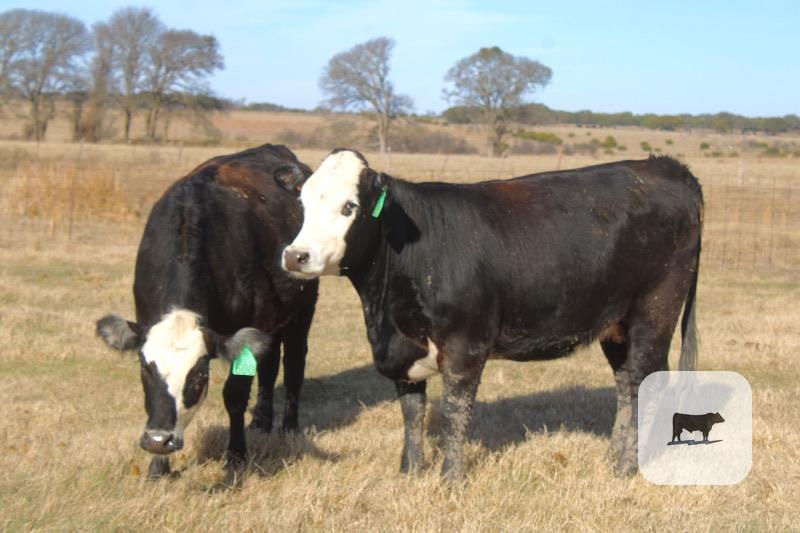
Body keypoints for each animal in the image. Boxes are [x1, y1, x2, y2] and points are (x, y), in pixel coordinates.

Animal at [96, 143, 318, 479]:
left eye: (199, 373)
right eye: (145, 368)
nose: (159, 439)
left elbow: (235, 396)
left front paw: (236, 456)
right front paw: (158, 467)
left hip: (302, 310)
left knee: (294, 363)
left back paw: (289, 428)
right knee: (269, 367)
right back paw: (261, 421)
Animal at [281, 149, 703, 480]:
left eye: (348, 207)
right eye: (302, 205)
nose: (296, 255)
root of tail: (664, 166)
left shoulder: (465, 346)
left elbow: (454, 412)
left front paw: (451, 479)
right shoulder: (402, 350)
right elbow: (412, 413)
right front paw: (410, 473)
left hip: (654, 314)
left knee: (644, 382)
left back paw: (629, 468)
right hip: (616, 325)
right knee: (626, 385)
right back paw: (614, 457)